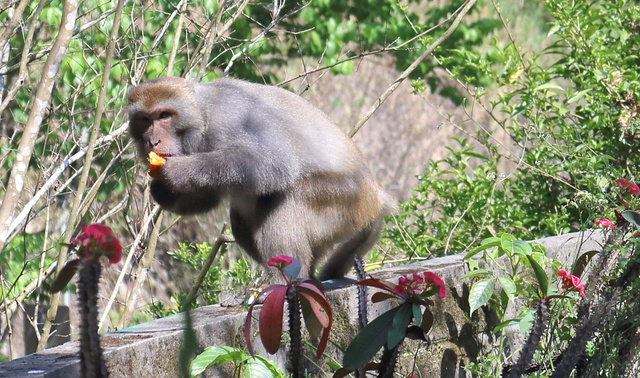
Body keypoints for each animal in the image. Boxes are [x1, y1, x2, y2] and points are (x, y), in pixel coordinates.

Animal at [127, 77, 392, 282]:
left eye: (164, 115)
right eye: (145, 120)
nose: (152, 141)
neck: (201, 117)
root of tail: (377, 197)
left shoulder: (229, 117)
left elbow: (274, 161)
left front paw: (178, 171)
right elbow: (210, 196)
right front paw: (162, 190)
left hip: (345, 202)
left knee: (284, 198)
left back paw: (286, 282)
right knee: (241, 214)